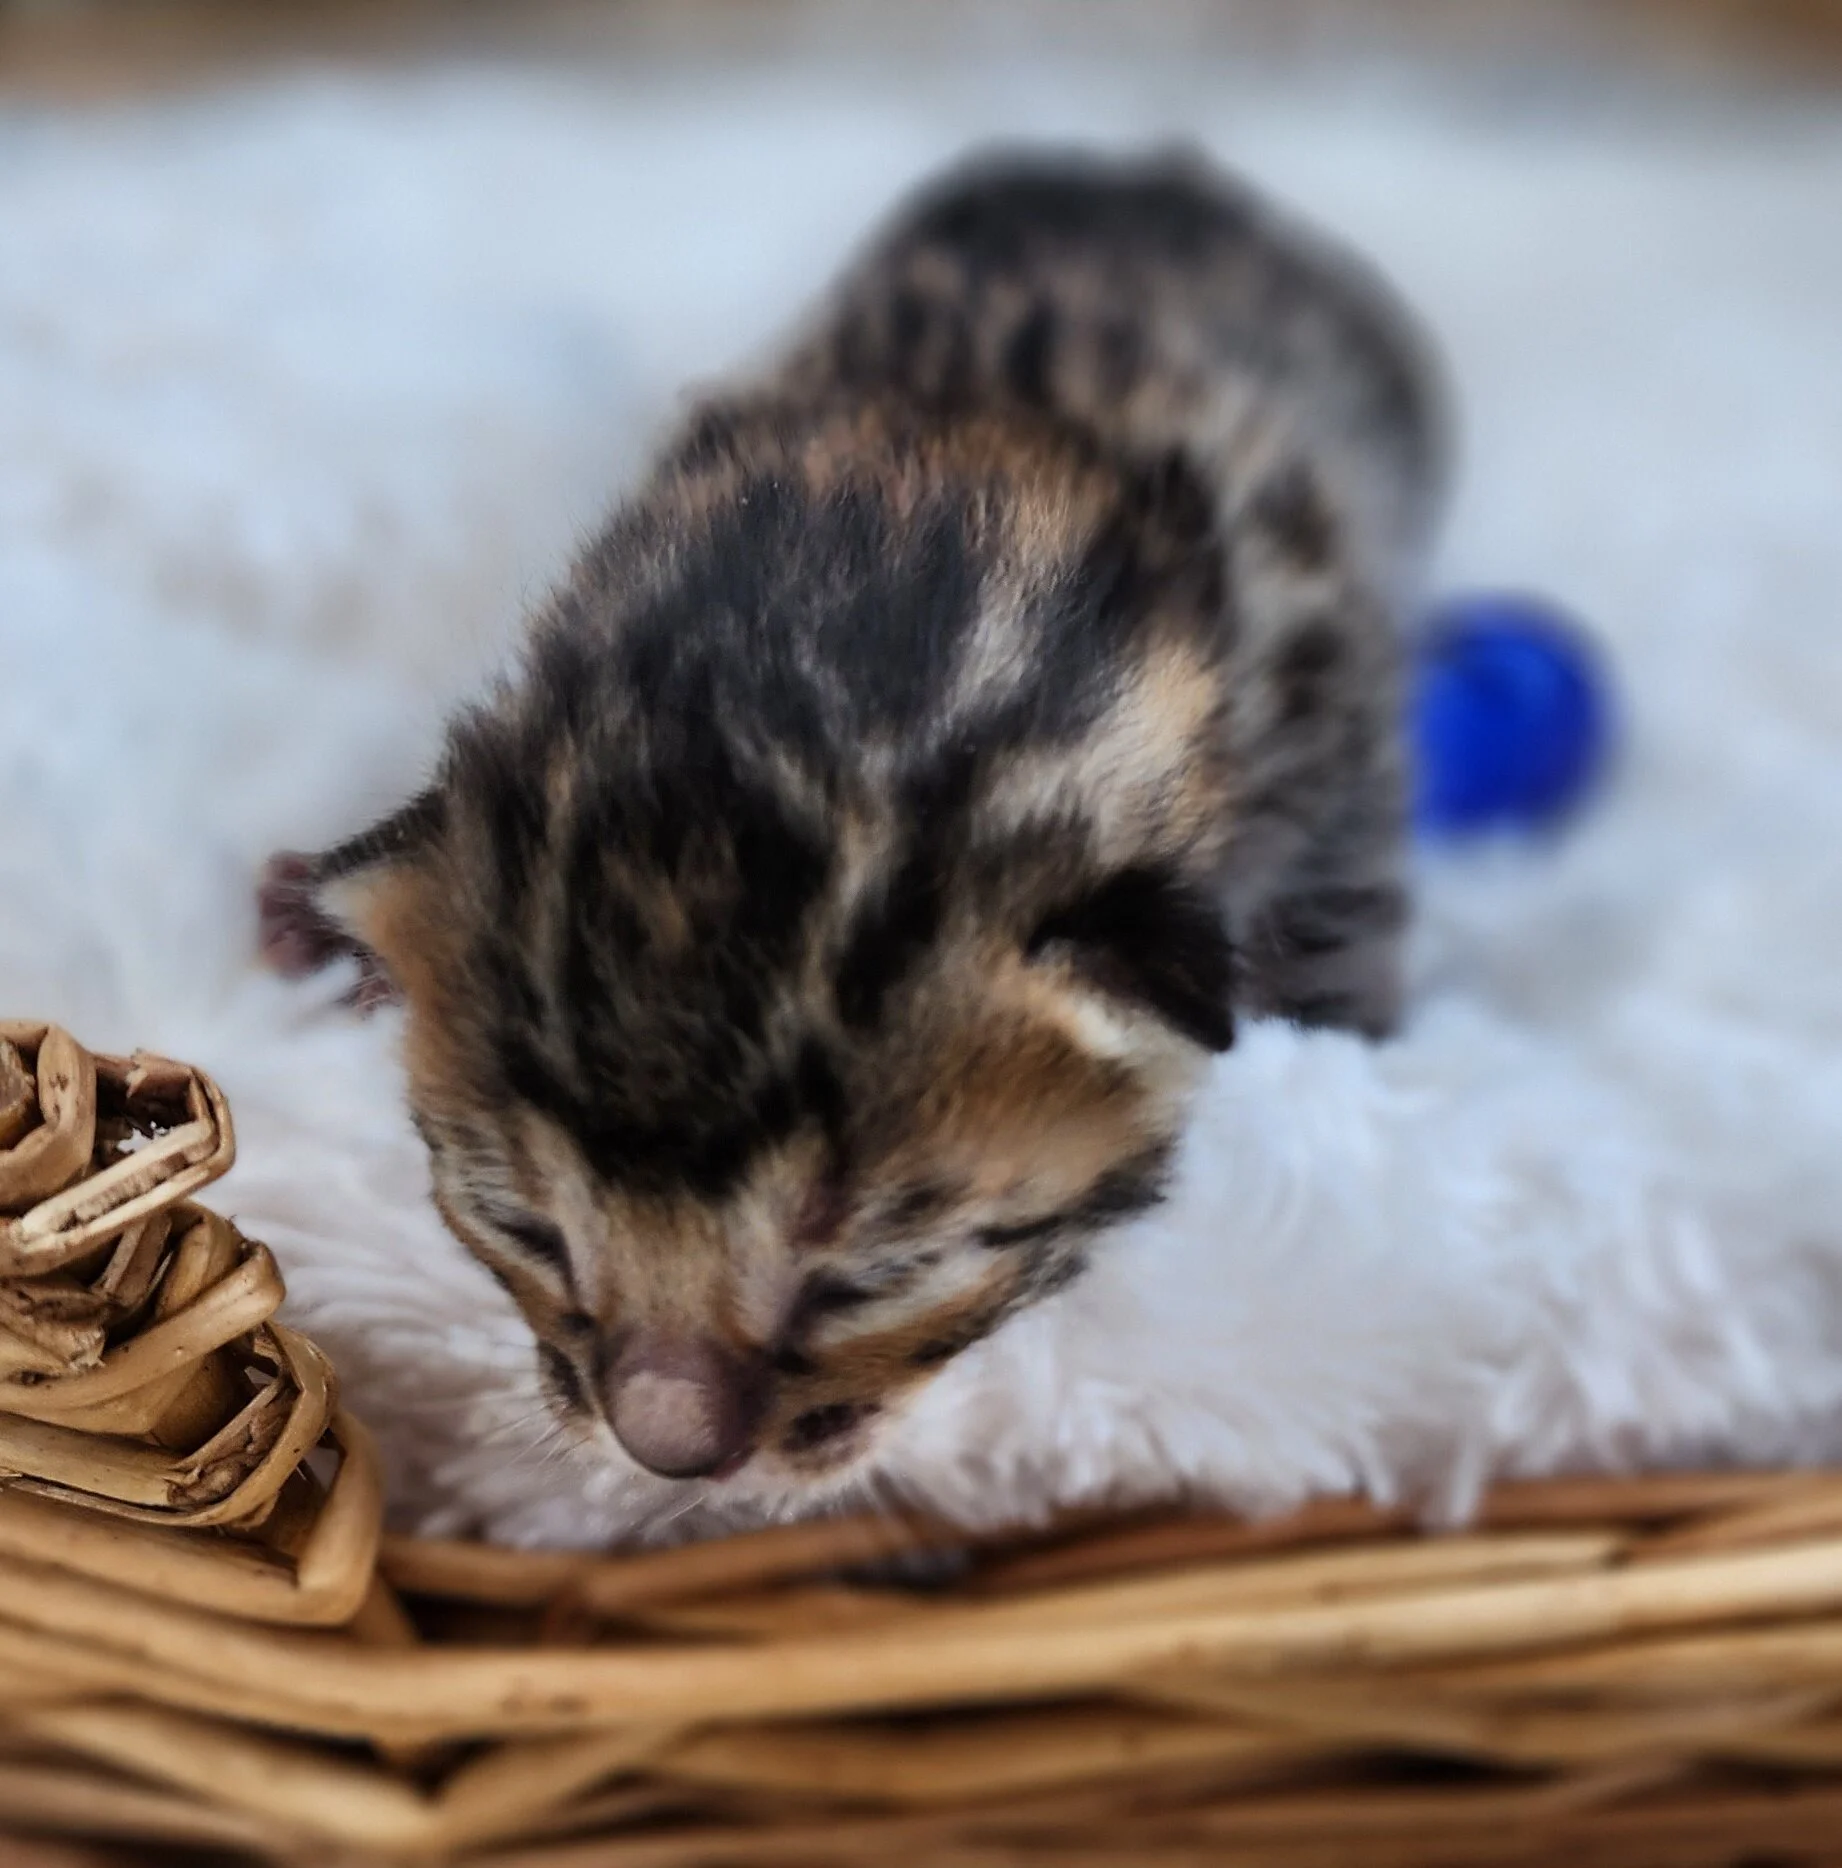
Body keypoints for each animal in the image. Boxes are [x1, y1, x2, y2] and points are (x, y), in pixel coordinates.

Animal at [258, 148, 1447, 1495]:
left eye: (866, 1280)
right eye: (528, 1229)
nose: (670, 1454)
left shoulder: (1329, 686)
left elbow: (1341, 888)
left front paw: (1342, 1043)